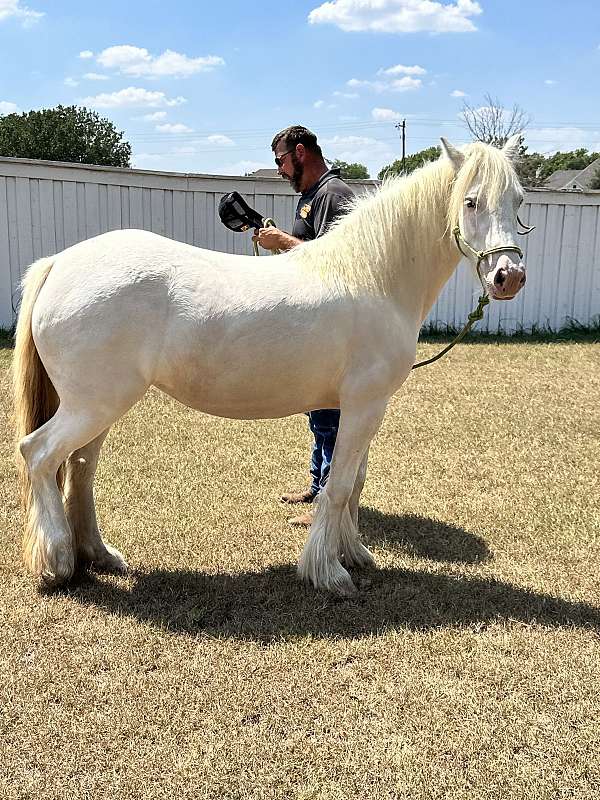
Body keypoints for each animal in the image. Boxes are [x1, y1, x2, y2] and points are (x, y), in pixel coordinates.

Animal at [10, 136, 524, 592]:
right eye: (471, 201)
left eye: (518, 200)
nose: (509, 276)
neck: (372, 277)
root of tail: (60, 263)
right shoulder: (364, 405)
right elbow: (339, 486)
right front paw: (329, 573)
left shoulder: (363, 407)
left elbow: (354, 483)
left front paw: (354, 554)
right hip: (92, 405)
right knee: (38, 454)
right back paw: (57, 564)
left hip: (101, 407)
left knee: (79, 468)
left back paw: (98, 555)